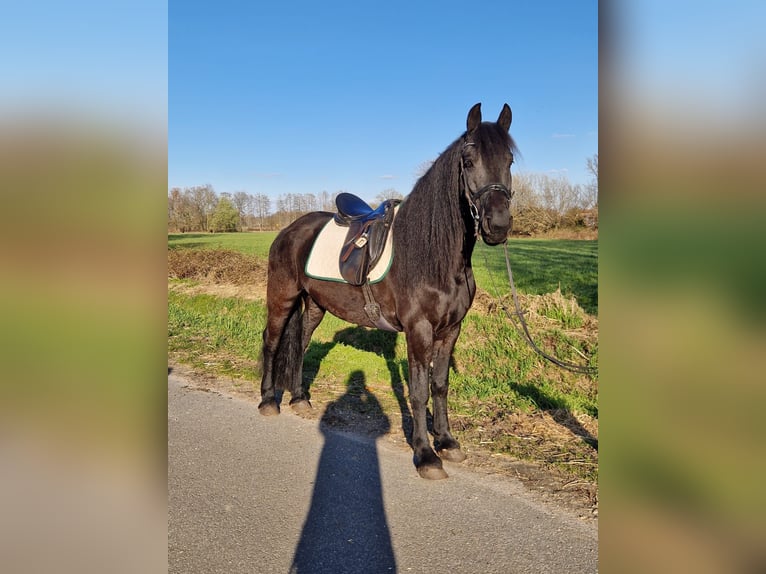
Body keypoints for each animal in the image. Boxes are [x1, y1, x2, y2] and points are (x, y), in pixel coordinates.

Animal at [259, 103, 516, 479]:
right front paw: (426, 455)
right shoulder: (419, 330)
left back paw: (299, 399)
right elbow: (419, 391)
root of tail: (289, 230)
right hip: (282, 297)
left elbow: (440, 385)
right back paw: (267, 401)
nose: (497, 225)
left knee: (300, 343)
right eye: (469, 161)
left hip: (316, 305)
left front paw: (447, 442)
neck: (432, 255)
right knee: (272, 341)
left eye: (509, 161)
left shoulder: (451, 330)